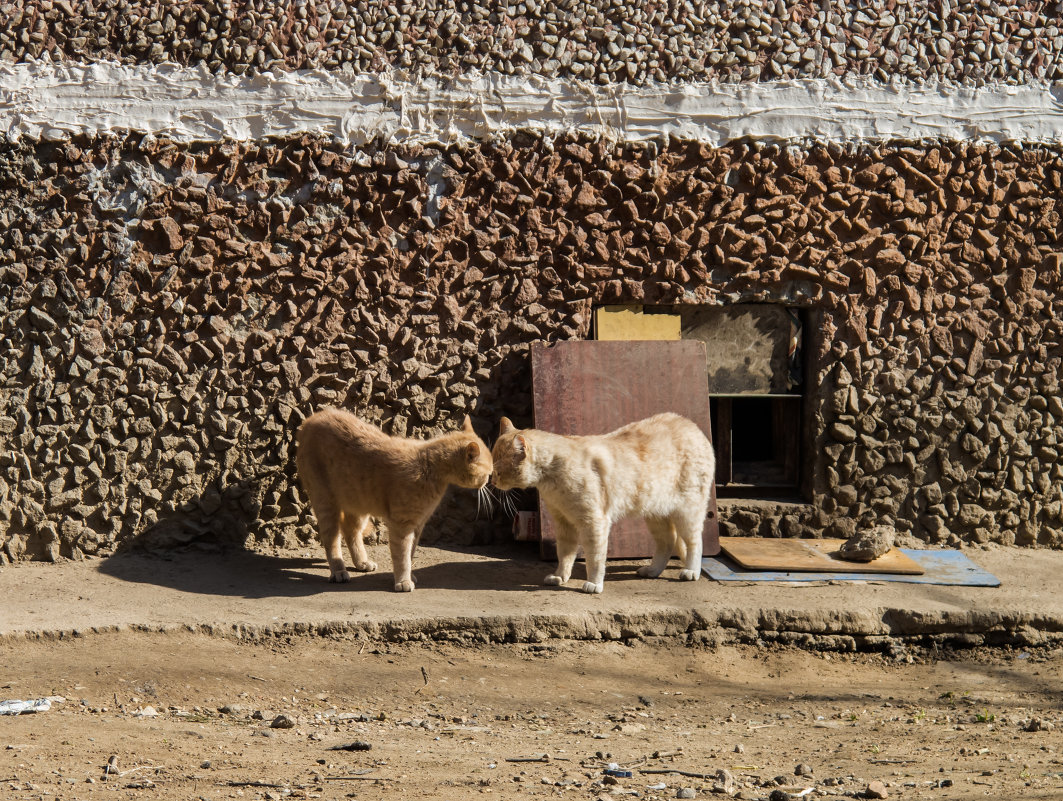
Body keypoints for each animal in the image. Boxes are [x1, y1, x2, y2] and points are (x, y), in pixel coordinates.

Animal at [295, 407, 493, 590]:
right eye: (489, 472)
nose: (489, 481)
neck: (429, 465)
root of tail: (313, 418)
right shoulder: (402, 525)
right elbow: (402, 555)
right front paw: (403, 580)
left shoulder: (418, 524)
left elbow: (410, 553)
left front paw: (409, 575)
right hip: (326, 501)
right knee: (331, 539)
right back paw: (338, 570)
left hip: (358, 502)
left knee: (351, 531)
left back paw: (361, 562)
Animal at [488, 412, 714, 594]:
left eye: (498, 472)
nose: (491, 481)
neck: (551, 475)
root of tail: (690, 425)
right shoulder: (564, 524)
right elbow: (565, 554)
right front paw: (560, 576)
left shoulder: (593, 522)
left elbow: (595, 557)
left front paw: (594, 584)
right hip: (656, 514)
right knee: (668, 541)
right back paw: (652, 570)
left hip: (687, 511)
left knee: (695, 541)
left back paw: (691, 571)